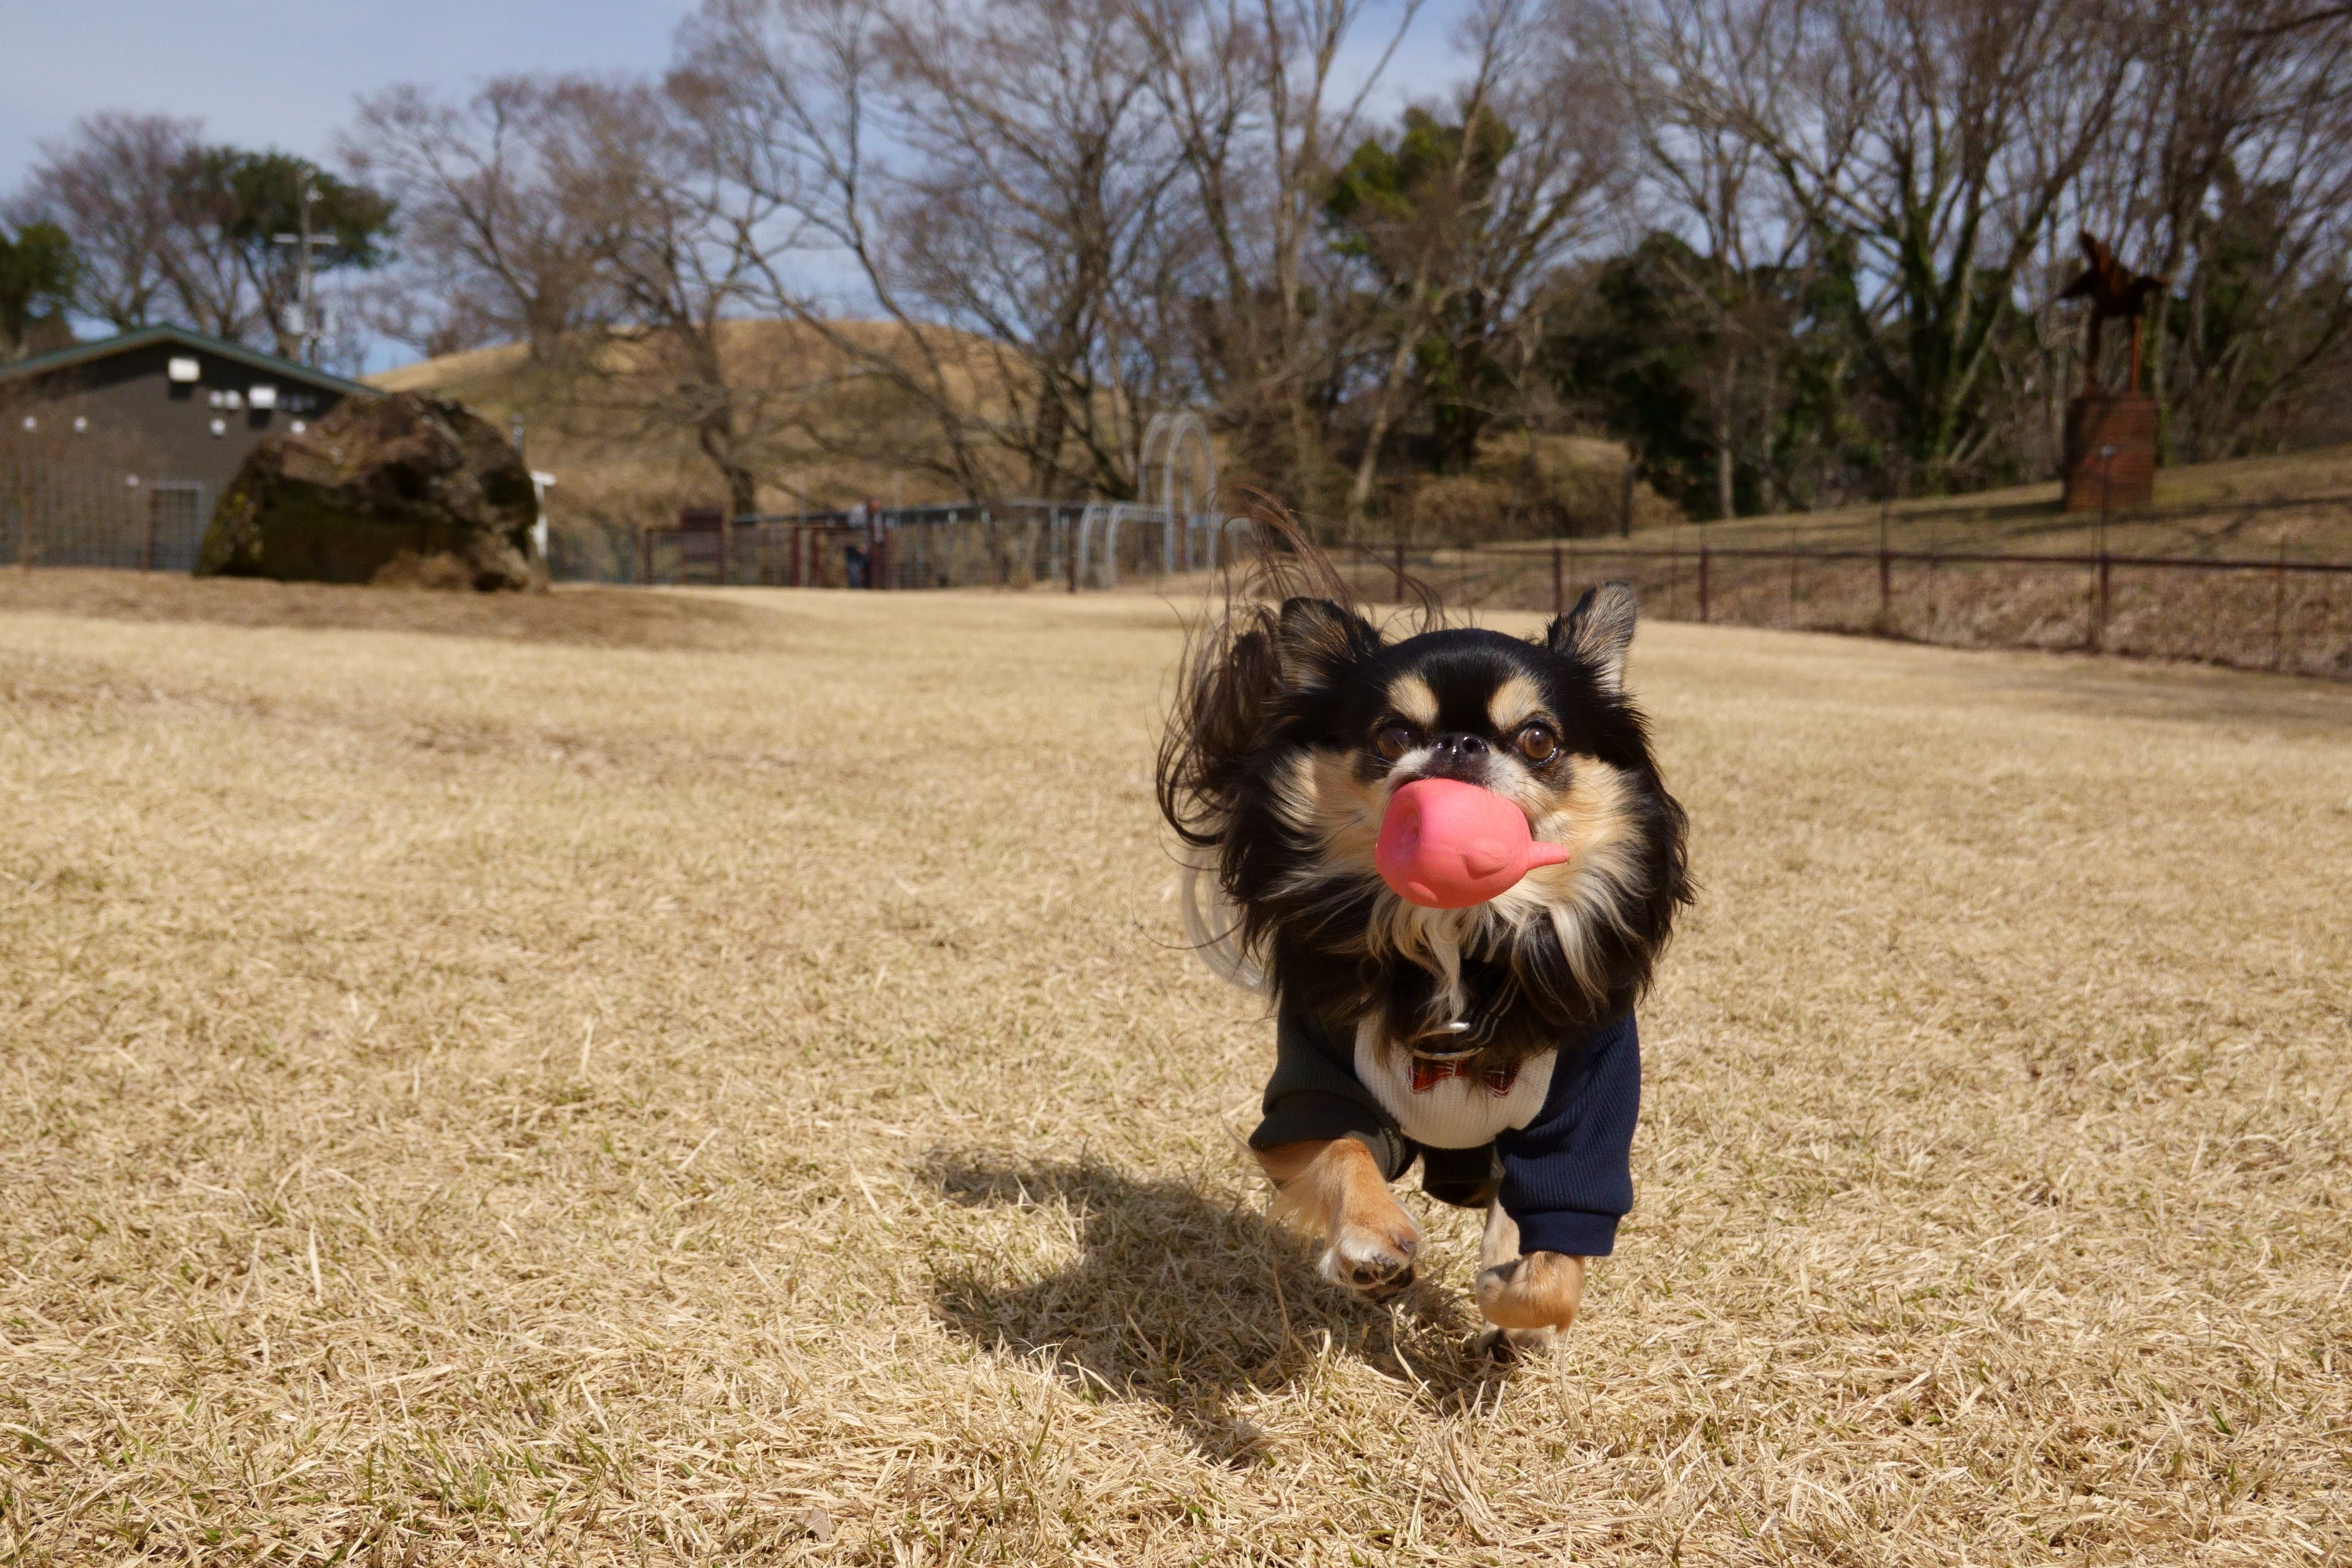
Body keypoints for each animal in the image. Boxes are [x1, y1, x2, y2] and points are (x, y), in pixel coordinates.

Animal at [1162, 555, 1693, 1363]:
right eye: (1390, 734)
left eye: (1538, 739)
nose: (1459, 745)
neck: (1459, 931)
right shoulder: (1310, 1097)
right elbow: (1344, 1151)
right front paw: (1371, 1244)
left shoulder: (1580, 1121)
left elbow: (1550, 1258)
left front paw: (1512, 1298)